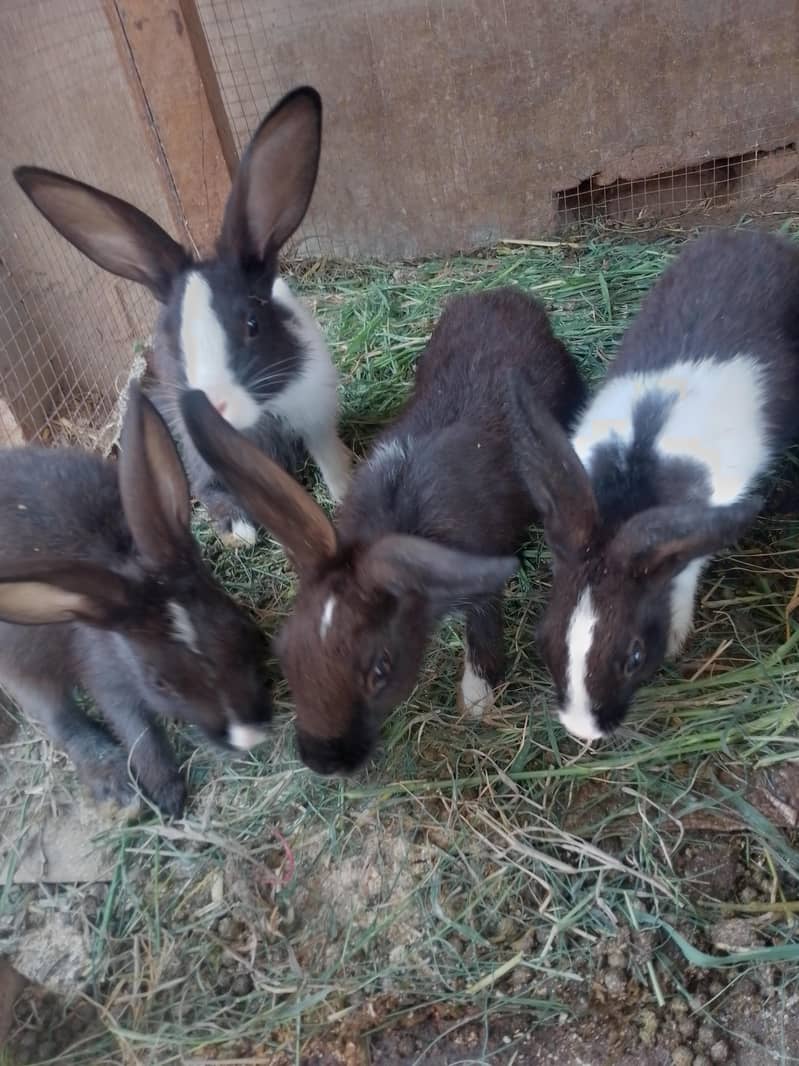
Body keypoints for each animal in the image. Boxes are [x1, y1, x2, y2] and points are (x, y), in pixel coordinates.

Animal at [0, 384, 271, 816]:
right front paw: (167, 796)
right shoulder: (108, 680)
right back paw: (117, 788)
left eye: (238, 627)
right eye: (160, 684)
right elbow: (137, 729)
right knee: (57, 717)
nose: (249, 736)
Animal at [13, 86, 350, 548]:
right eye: (171, 343)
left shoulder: (316, 414)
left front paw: (346, 487)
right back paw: (238, 531)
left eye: (252, 324)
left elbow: (331, 461)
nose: (214, 405)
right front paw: (244, 529)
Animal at [179, 287, 588, 774]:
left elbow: (483, 631)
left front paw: (475, 701)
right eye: (286, 652)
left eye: (381, 669)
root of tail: (508, 297)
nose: (323, 761)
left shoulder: (479, 577)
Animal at [511, 228, 799, 742]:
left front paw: (679, 632)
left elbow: (686, 569)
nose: (584, 732)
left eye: (634, 657)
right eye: (544, 640)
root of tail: (755, 235)